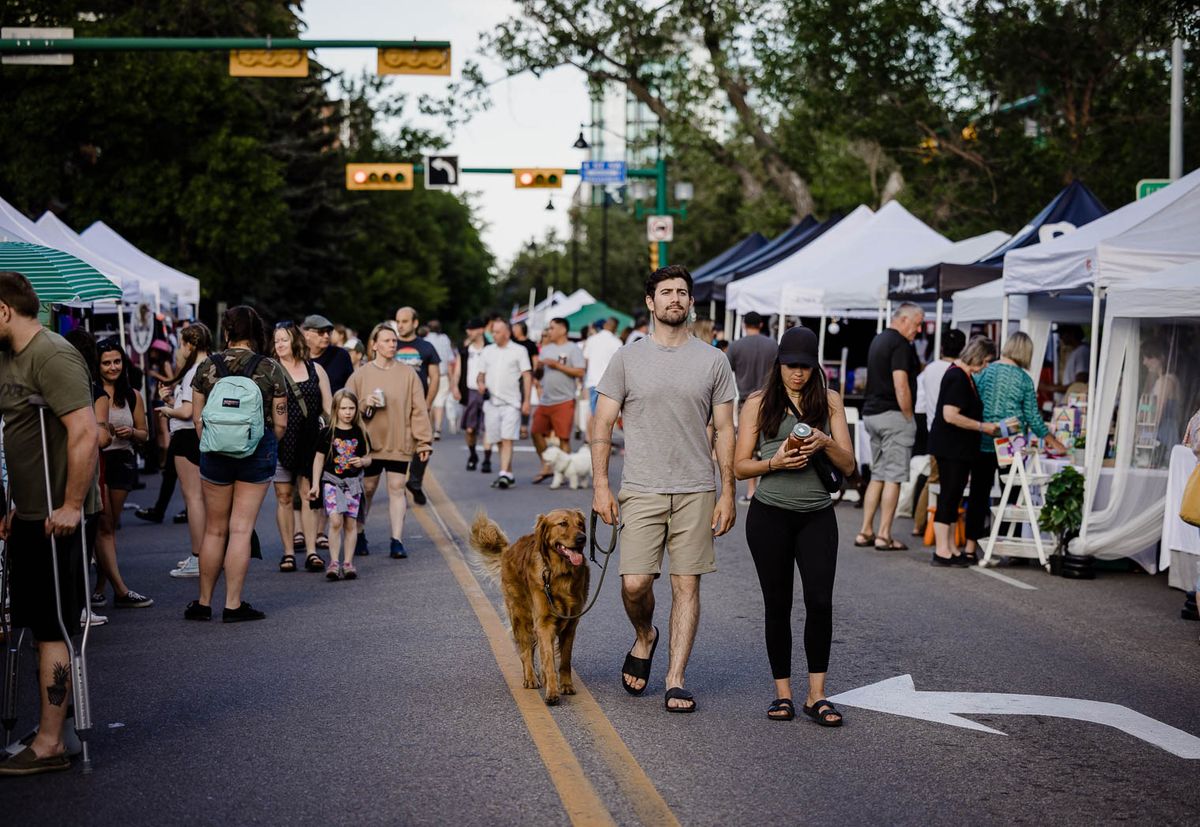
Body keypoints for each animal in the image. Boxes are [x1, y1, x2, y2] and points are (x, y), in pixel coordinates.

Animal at [472, 508, 595, 700]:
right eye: (563, 523)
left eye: (580, 524)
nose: (582, 538)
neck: (561, 574)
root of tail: (509, 549)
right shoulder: (543, 622)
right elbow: (547, 658)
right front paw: (552, 691)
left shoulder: (571, 624)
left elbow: (564, 659)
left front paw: (566, 685)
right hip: (520, 617)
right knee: (525, 651)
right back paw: (530, 678)